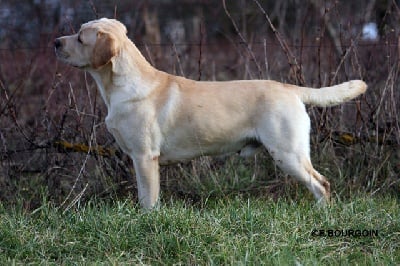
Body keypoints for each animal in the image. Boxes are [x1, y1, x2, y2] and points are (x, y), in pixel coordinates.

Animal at [54, 18, 368, 210]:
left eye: (80, 38)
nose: (56, 42)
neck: (120, 84)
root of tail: (291, 88)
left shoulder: (145, 157)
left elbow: (148, 200)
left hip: (288, 153)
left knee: (321, 184)